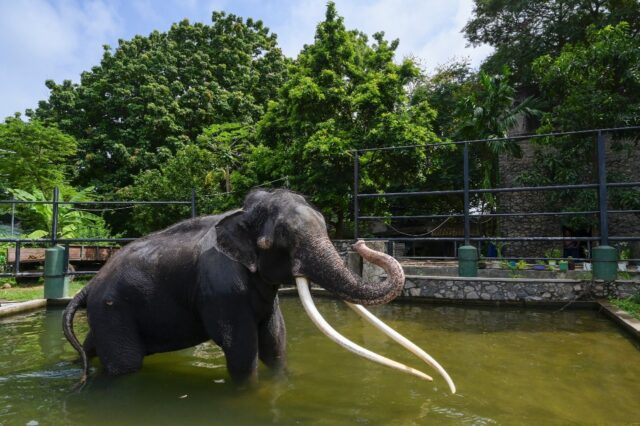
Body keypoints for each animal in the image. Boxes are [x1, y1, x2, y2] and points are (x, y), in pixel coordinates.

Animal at [63, 189, 455, 392]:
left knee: (95, 348)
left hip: (108, 314)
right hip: (113, 309)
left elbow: (275, 340)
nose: (360, 243)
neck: (238, 213)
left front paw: (281, 380)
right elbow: (241, 347)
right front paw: (248, 394)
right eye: (274, 242)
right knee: (126, 364)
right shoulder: (221, 289)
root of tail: (88, 286)